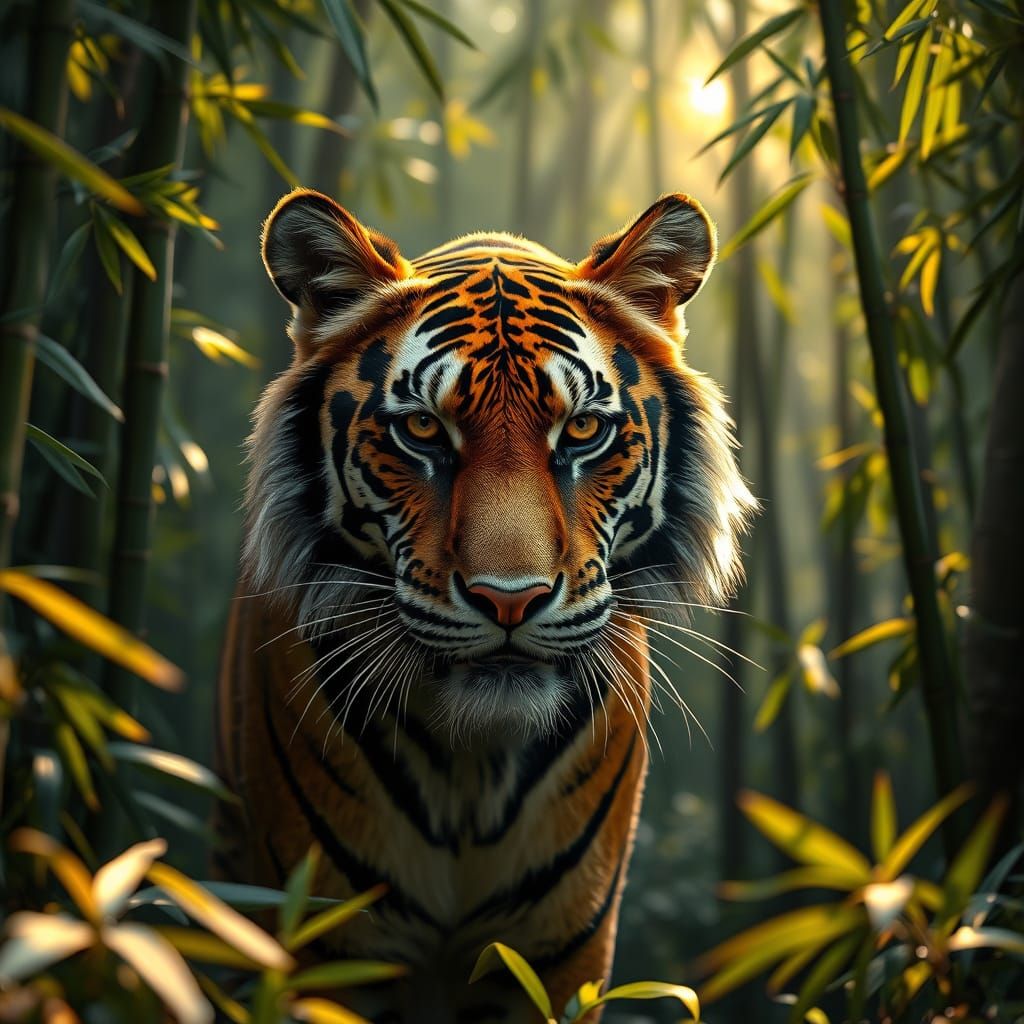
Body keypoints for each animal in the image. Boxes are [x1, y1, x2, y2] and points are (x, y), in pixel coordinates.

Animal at [215, 187, 754, 1023]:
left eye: (583, 429)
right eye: (422, 429)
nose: (511, 600)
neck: (469, 771)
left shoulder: (561, 956)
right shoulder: (322, 945)